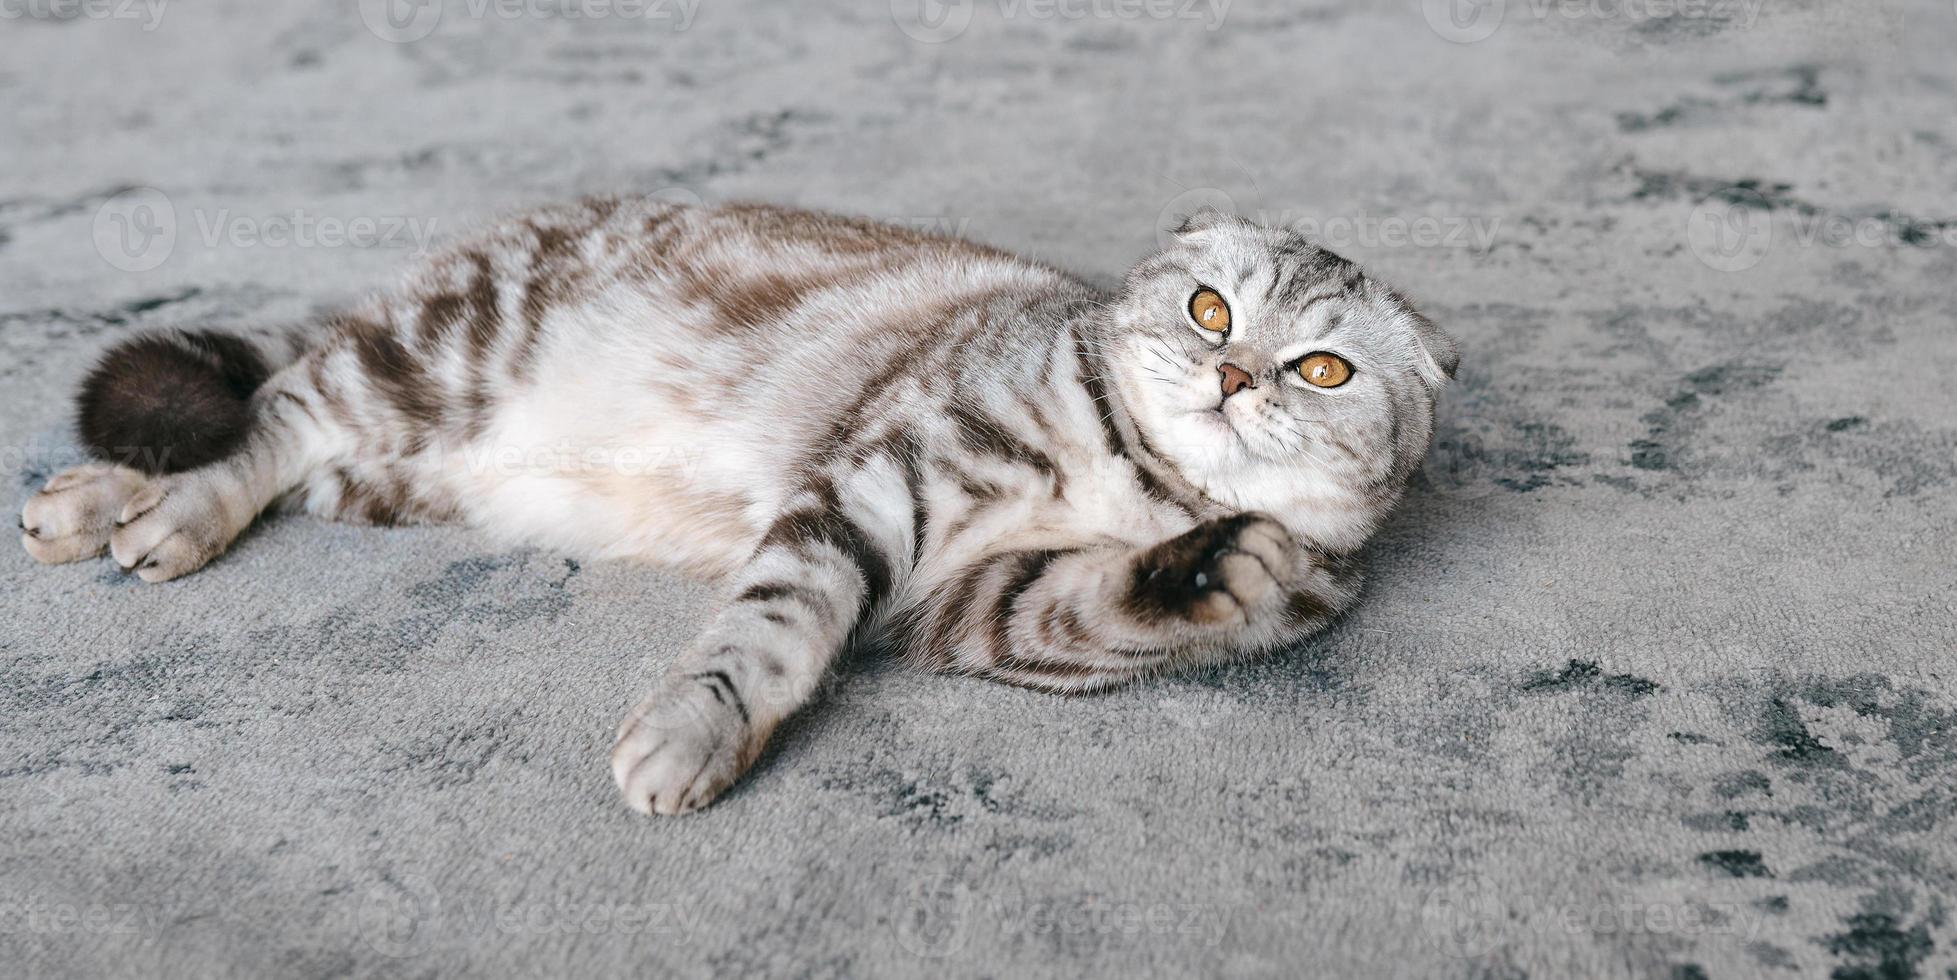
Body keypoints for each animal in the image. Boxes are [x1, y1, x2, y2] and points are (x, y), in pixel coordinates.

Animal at [15, 194, 1456, 813]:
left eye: (1322, 367)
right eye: (1212, 310)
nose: (1233, 374)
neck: (1140, 481)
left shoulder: (985, 606)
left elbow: (1108, 608)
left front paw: (1221, 572)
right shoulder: (873, 487)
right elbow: (770, 632)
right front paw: (693, 735)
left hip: (401, 465)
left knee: (280, 434)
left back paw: (100, 501)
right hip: (427, 358)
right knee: (265, 417)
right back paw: (138, 511)